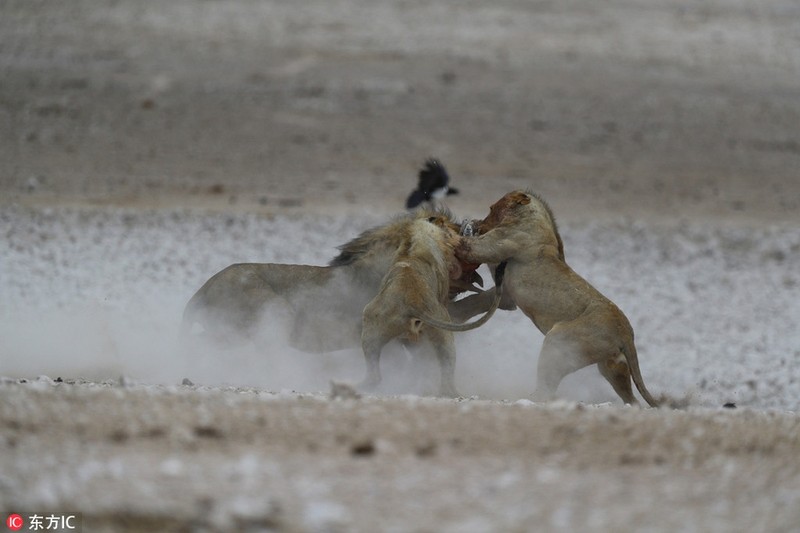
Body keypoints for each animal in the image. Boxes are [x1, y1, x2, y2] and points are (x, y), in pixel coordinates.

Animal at [360, 211, 504, 394]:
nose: (465, 226)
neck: (416, 236)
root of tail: (412, 303)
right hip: (443, 330)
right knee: (446, 377)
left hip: (371, 324)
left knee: (375, 375)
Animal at [460, 189, 660, 406]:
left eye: (492, 209)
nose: (480, 224)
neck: (531, 217)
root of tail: (626, 332)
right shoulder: (506, 293)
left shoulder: (499, 245)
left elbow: (469, 247)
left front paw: (466, 226)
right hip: (613, 366)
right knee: (632, 400)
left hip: (558, 341)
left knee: (547, 388)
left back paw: (528, 399)